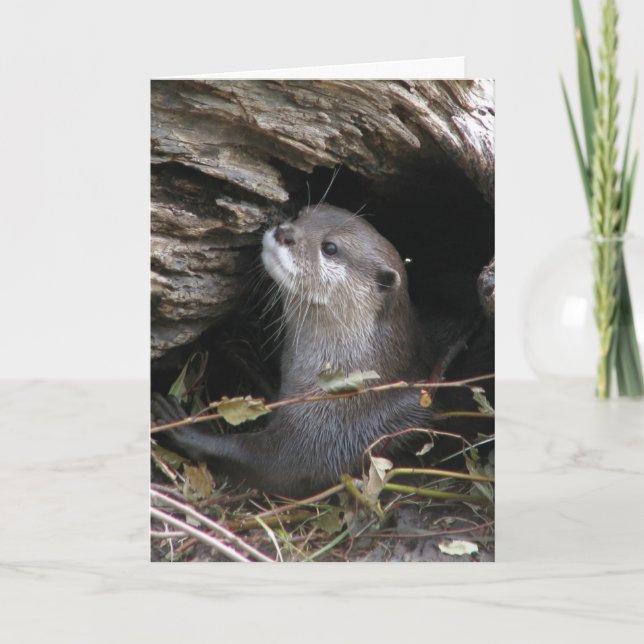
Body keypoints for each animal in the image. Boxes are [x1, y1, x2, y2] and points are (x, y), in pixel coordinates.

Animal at [152, 204, 491, 497]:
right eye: (301, 214)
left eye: (330, 248)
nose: (285, 232)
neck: (354, 379)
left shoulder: (335, 432)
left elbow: (274, 466)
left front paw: (181, 425)